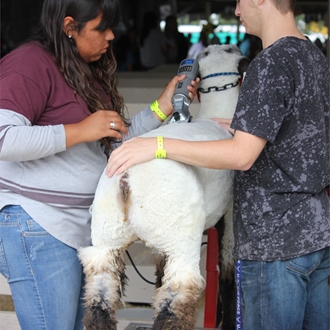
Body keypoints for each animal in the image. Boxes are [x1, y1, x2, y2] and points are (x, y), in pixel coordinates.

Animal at [80, 44, 250, 330]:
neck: (217, 114)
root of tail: (127, 178)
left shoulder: (160, 245)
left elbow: (158, 277)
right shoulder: (230, 214)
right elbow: (227, 272)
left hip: (107, 237)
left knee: (99, 301)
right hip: (180, 236)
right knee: (175, 301)